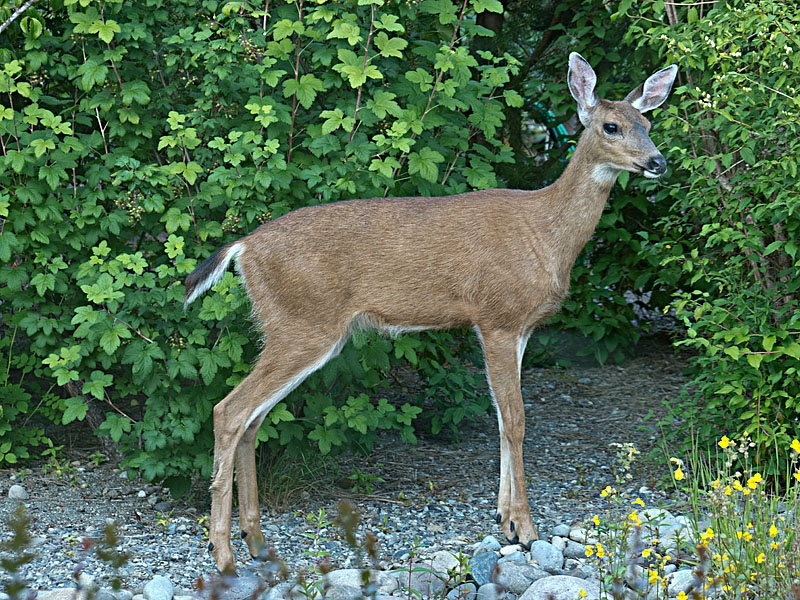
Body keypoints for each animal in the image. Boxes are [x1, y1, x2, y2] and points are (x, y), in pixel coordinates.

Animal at [184, 51, 680, 572]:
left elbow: (501, 420)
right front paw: (526, 529)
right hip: (303, 323)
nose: (657, 162)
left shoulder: (520, 328)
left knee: (252, 420)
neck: (545, 234)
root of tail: (244, 247)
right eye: (611, 126)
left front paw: (504, 520)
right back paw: (223, 554)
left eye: (648, 122)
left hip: (292, 327)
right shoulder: (497, 317)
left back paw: (256, 540)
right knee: (229, 411)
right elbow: (516, 419)